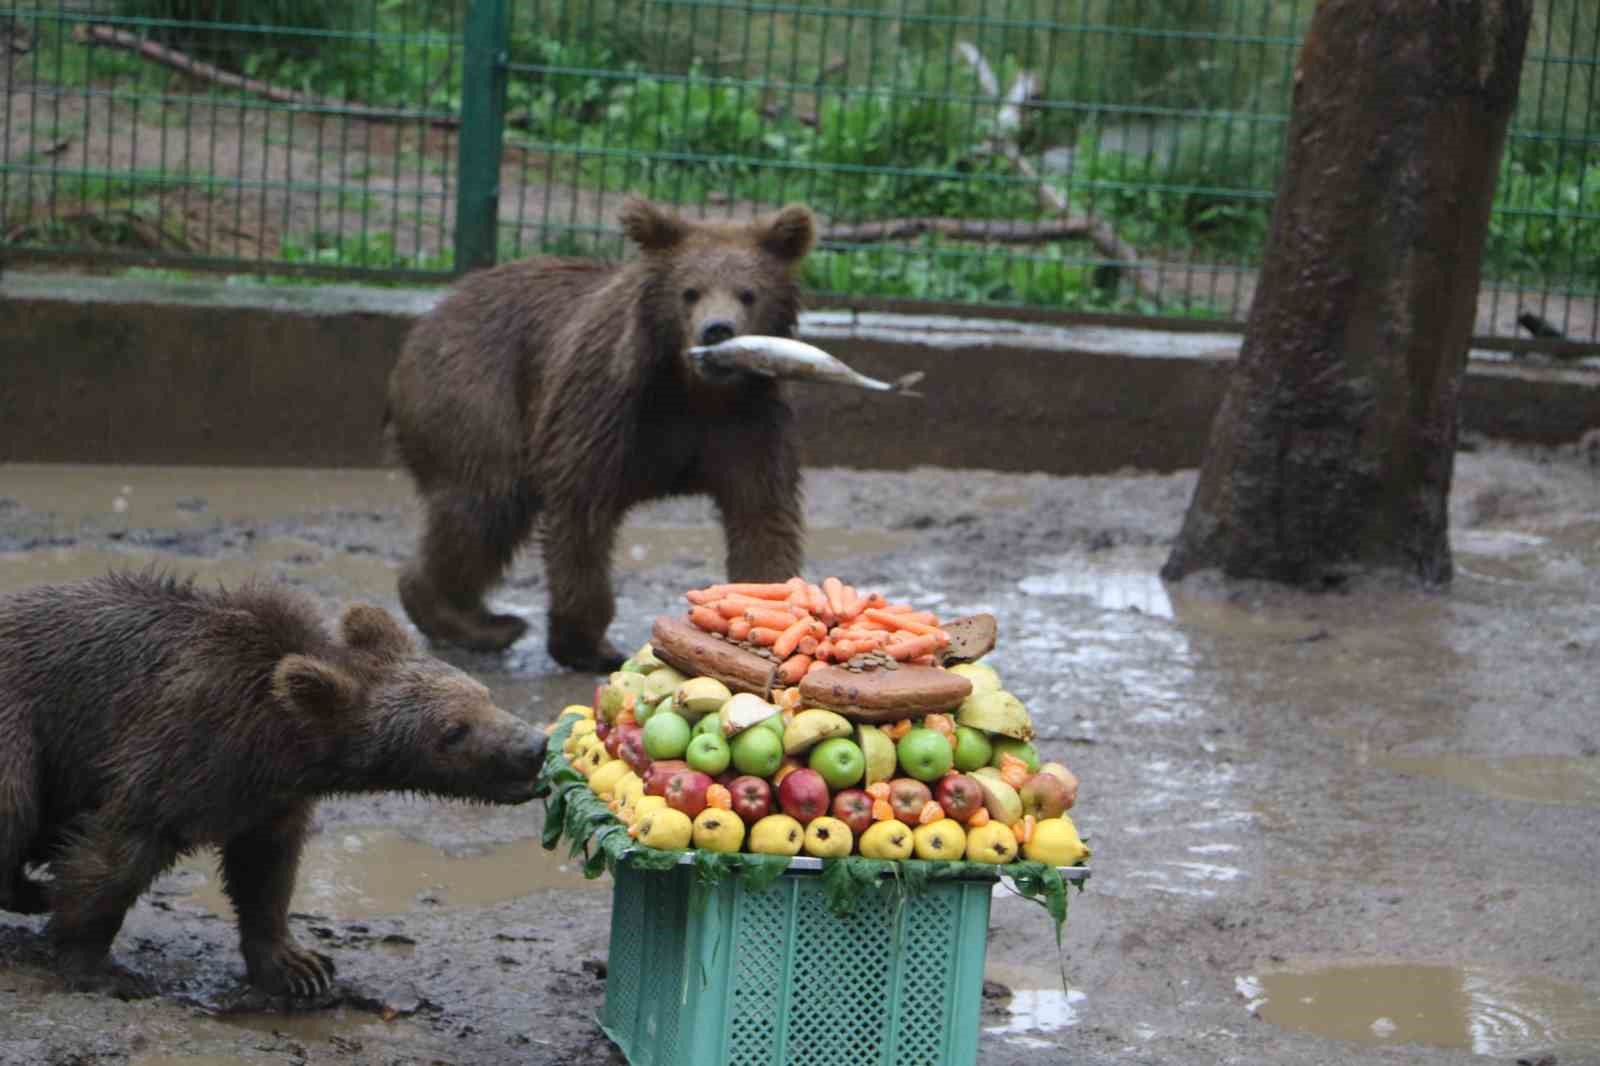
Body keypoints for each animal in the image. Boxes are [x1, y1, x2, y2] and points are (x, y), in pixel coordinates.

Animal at [0, 569, 544, 992]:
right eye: (452, 730)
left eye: (484, 694)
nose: (532, 747)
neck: (274, 742)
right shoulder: (176, 745)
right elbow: (116, 852)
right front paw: (93, 962)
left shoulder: (269, 798)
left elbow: (265, 873)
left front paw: (298, 966)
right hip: (19, 729)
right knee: (15, 801)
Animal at [384, 195, 812, 669]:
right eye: (690, 291)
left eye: (748, 293)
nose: (717, 329)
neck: (693, 392)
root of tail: (435, 311)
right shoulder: (604, 408)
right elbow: (580, 511)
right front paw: (590, 645)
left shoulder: (748, 423)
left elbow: (761, 516)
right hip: (476, 389)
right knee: (485, 501)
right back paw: (476, 620)